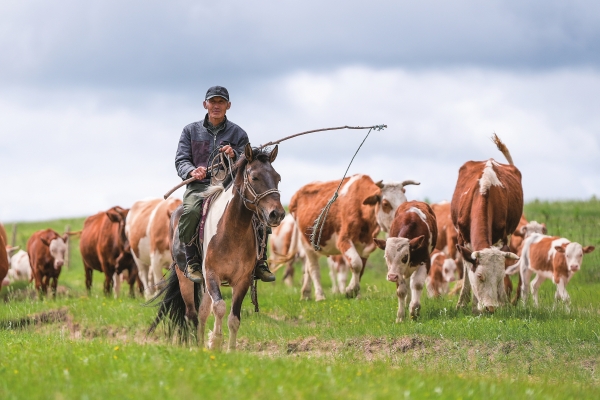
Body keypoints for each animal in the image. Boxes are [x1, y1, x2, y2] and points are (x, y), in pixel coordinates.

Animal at [147, 144, 284, 350]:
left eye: (277, 178)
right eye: (254, 177)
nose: (277, 214)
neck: (232, 231)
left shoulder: (242, 280)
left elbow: (233, 318)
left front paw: (229, 349)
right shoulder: (212, 274)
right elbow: (219, 307)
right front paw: (216, 343)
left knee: (202, 311)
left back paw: (201, 344)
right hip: (185, 277)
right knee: (191, 314)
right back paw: (195, 346)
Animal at [288, 175, 418, 300]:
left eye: (405, 201)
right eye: (386, 203)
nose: (402, 220)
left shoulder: (365, 246)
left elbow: (361, 269)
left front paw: (356, 294)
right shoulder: (343, 240)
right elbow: (356, 264)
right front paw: (350, 290)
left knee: (307, 269)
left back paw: (306, 294)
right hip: (306, 244)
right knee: (313, 269)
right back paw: (320, 296)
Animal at [452, 134, 524, 312]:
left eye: (499, 278)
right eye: (480, 276)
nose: (491, 308)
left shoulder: (502, 239)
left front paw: (503, 302)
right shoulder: (462, 238)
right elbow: (467, 273)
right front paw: (467, 304)